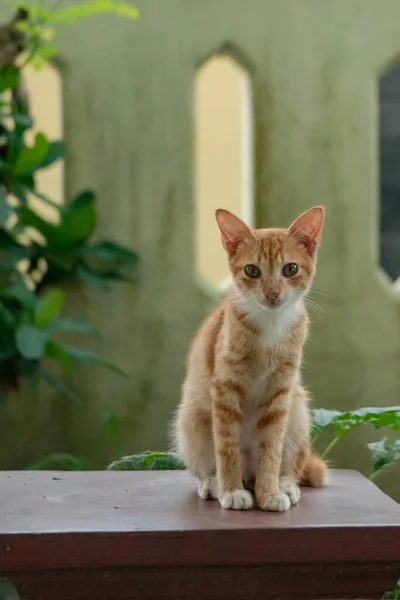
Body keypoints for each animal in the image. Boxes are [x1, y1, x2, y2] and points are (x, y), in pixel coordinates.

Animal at [173, 206, 326, 510]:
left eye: (290, 269)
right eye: (252, 271)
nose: (273, 293)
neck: (270, 325)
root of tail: (249, 474)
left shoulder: (281, 389)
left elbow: (272, 448)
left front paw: (269, 493)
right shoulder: (224, 388)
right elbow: (226, 445)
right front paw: (231, 491)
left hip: (298, 412)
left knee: (291, 465)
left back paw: (284, 484)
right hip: (190, 422)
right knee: (206, 467)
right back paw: (214, 483)